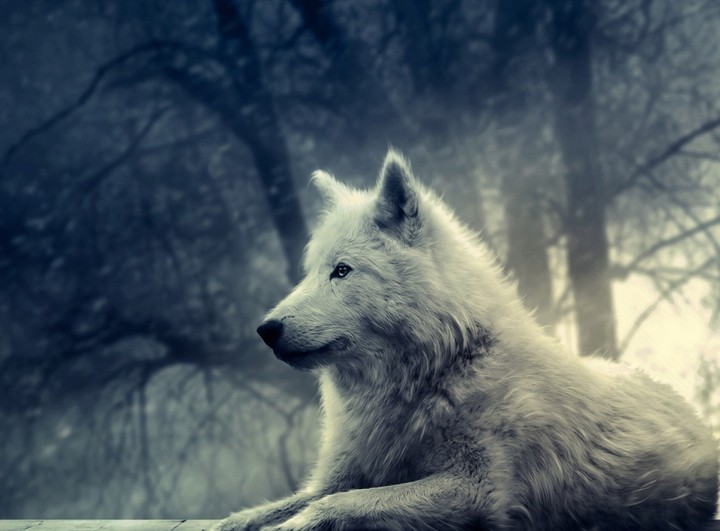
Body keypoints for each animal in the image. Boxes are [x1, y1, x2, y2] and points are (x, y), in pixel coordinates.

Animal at [213, 151, 719, 530]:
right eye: (311, 272)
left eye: (342, 270)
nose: (266, 329)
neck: (439, 369)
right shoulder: (336, 476)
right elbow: (263, 510)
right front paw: (238, 521)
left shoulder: (476, 489)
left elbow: (342, 505)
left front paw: (294, 525)